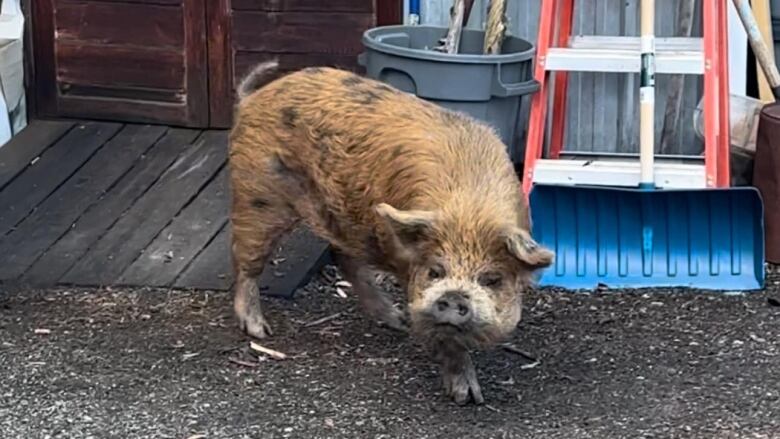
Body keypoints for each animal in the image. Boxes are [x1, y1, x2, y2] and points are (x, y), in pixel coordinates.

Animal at [227, 61, 556, 406]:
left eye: (492, 279)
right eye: (435, 271)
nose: (453, 297)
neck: (471, 211)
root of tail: (252, 99)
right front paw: (467, 397)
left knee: (342, 258)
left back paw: (398, 321)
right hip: (258, 197)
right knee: (245, 262)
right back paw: (260, 330)